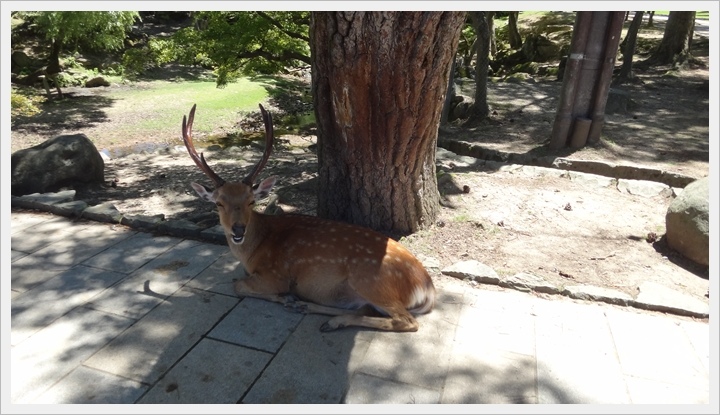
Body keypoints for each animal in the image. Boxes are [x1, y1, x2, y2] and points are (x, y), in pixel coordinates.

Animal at [183, 105, 436, 334]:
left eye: (251, 201)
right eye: (219, 203)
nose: (238, 229)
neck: (253, 252)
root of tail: (428, 288)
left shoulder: (276, 274)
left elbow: (237, 285)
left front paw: (286, 298)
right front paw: (292, 300)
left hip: (371, 281)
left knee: (406, 321)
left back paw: (328, 319)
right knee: (363, 309)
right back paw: (312, 309)